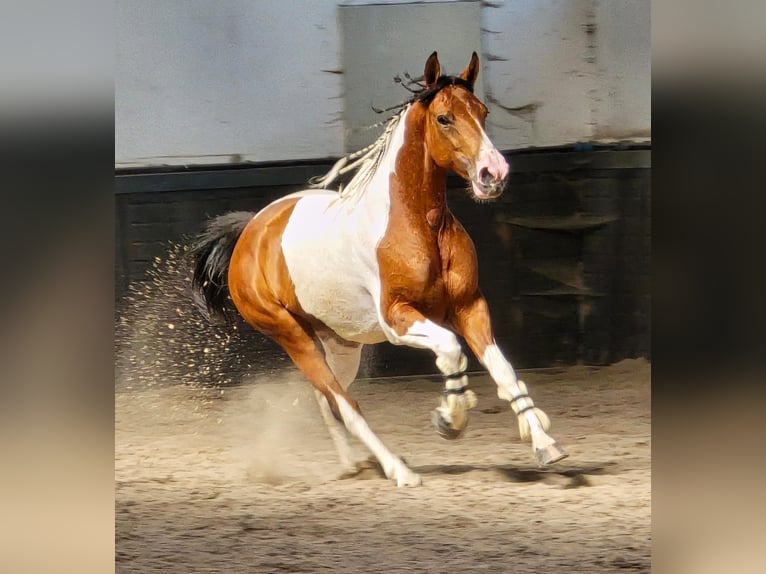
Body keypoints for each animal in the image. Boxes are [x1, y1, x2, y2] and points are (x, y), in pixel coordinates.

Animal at [190, 52, 567, 486]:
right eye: (444, 118)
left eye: (483, 112)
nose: (494, 174)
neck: (420, 226)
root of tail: (250, 232)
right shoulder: (398, 319)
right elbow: (451, 352)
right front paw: (450, 419)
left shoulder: (470, 306)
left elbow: (503, 371)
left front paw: (545, 445)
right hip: (293, 337)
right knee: (344, 404)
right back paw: (397, 470)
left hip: (340, 343)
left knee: (325, 399)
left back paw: (354, 465)